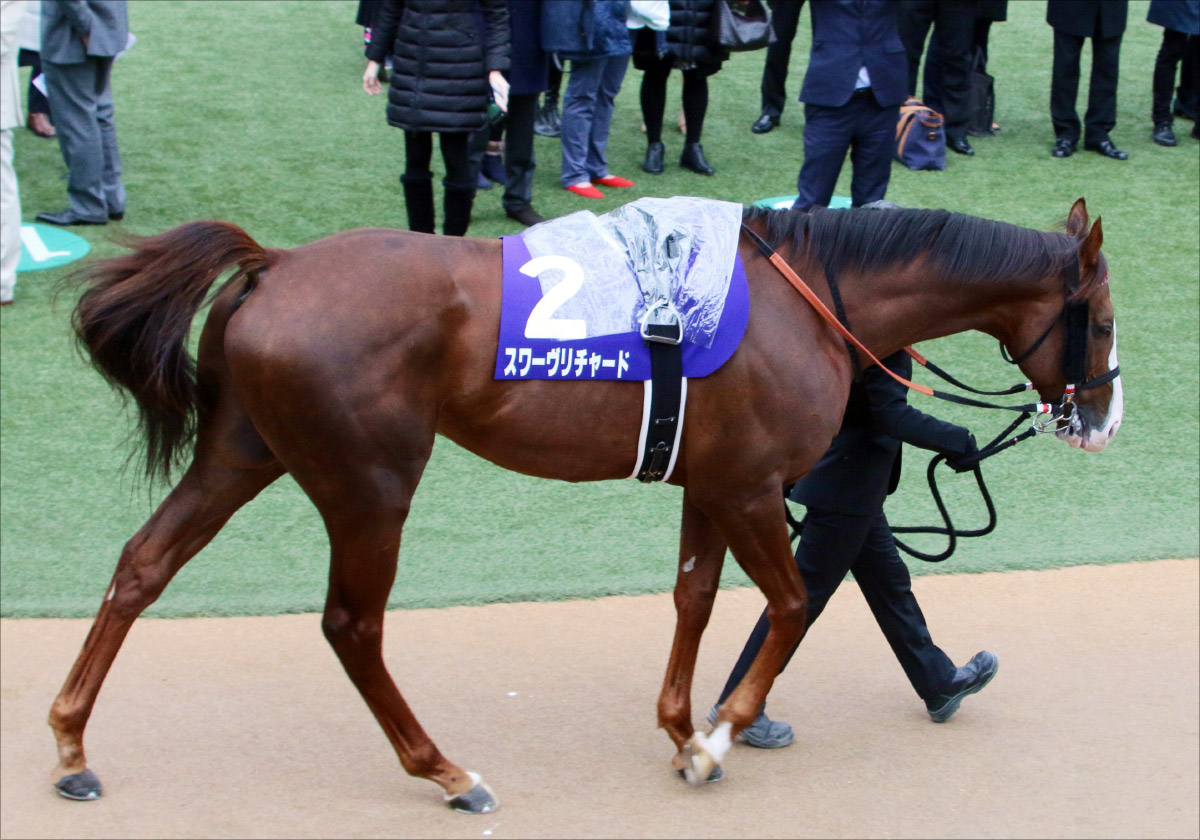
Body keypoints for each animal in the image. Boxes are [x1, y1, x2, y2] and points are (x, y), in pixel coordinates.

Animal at [48, 197, 1122, 812]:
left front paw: (683, 729)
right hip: (369, 484)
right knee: (352, 625)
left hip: (245, 451)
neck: (809, 296)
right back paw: (447, 773)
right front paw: (718, 738)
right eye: (1106, 319)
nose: (1104, 418)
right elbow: (788, 604)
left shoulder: (710, 483)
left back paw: (69, 743)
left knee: (142, 565)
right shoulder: (750, 487)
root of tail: (274, 262)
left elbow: (696, 598)